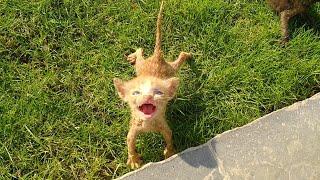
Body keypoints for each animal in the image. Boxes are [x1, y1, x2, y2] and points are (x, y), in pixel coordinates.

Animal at [114, 1, 191, 169]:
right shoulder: (134, 127)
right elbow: (129, 141)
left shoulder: (163, 124)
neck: (148, 124)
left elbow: (169, 136)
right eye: (136, 93)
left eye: (158, 92)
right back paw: (134, 55)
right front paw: (134, 160)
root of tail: (157, 56)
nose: (148, 96)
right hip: (142, 67)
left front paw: (169, 153)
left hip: (170, 69)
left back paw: (187, 55)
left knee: (179, 57)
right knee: (140, 52)